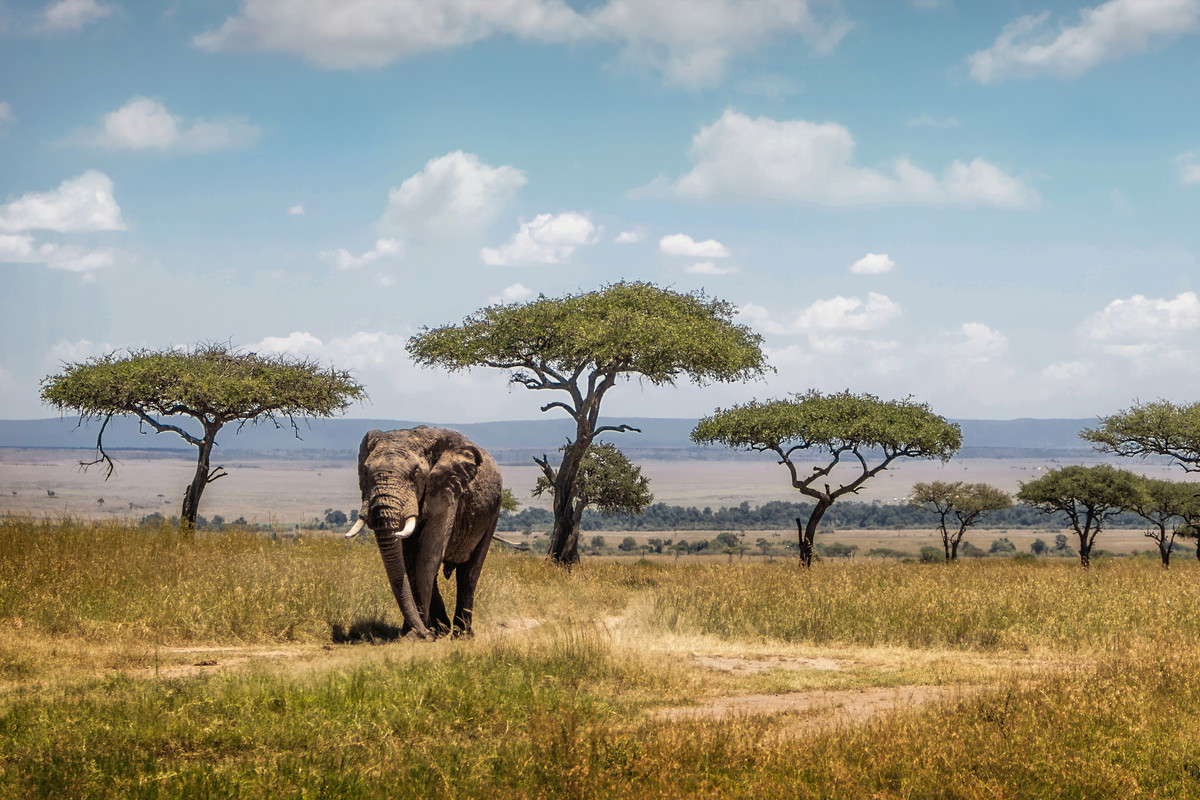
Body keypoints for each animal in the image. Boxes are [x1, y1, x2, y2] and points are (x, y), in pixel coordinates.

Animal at [344, 426, 502, 639]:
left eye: (415, 473)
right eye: (366, 472)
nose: (423, 633)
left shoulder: (446, 491)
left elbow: (427, 556)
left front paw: (413, 636)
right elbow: (409, 561)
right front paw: (414, 633)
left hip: (493, 509)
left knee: (469, 572)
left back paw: (460, 635)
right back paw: (442, 630)